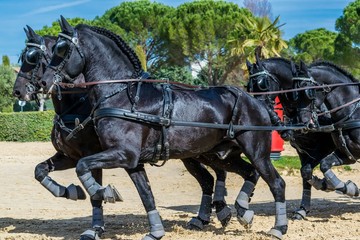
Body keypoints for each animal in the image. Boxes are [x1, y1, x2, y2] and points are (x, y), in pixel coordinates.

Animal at [11, 25, 236, 236]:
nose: (18, 91)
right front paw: (69, 191)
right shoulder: (71, 156)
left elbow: (95, 193)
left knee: (221, 172)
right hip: (192, 153)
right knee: (210, 178)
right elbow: (40, 170)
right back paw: (208, 215)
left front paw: (96, 225)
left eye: (33, 57)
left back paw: (222, 210)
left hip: (203, 152)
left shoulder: (96, 154)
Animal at [38, 15, 292, 239]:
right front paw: (155, 231)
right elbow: (146, 194)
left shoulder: (122, 154)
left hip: (256, 152)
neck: (123, 94)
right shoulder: (131, 160)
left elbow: (83, 167)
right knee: (244, 173)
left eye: (61, 49)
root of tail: (257, 101)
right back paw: (240, 210)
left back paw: (278, 227)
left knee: (276, 183)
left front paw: (103, 192)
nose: (42, 82)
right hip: (220, 154)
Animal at [246, 55, 358, 219]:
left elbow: (311, 170)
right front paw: (303, 208)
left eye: (262, 84)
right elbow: (305, 174)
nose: (256, 110)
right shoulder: (302, 151)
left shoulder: (324, 148)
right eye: (249, 86)